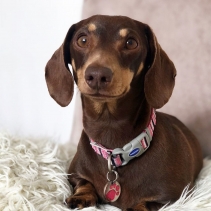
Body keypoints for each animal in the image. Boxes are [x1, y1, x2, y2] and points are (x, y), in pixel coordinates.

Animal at [44, 15, 203, 211]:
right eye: (82, 40)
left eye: (131, 42)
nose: (97, 75)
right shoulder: (74, 174)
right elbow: (84, 183)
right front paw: (81, 196)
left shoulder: (174, 198)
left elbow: (145, 203)